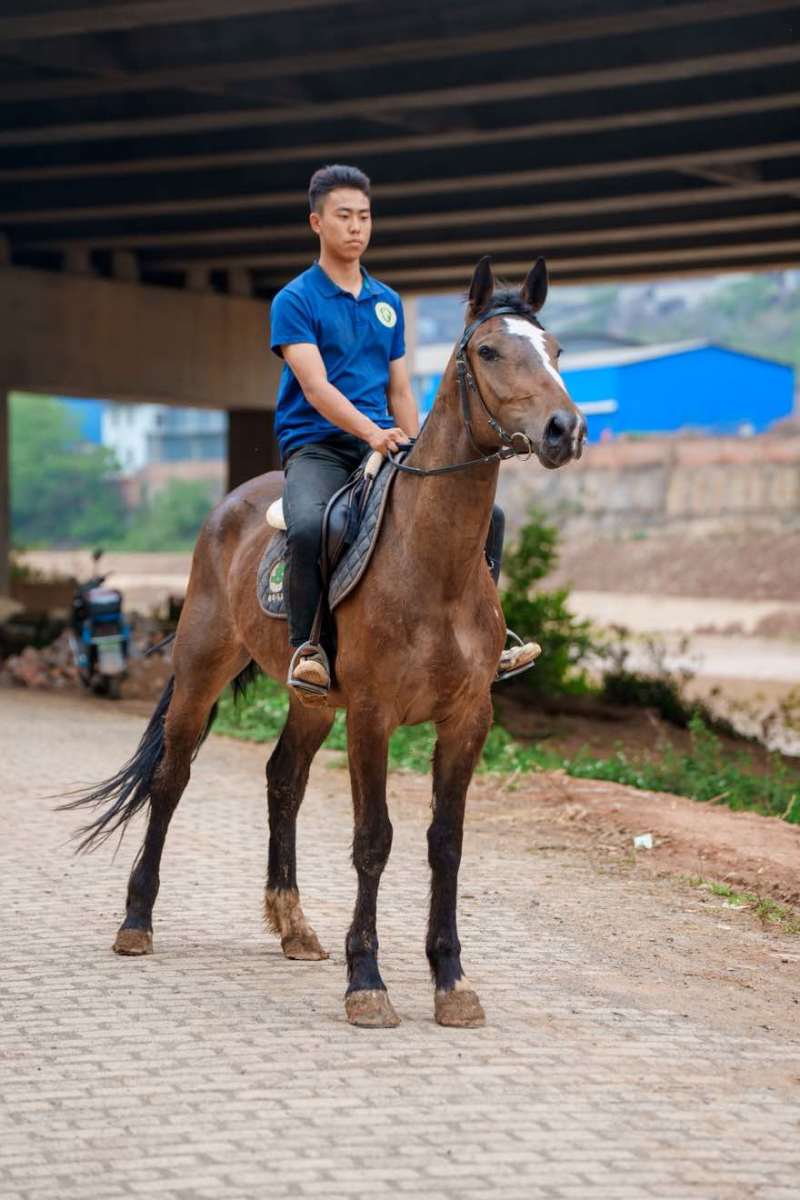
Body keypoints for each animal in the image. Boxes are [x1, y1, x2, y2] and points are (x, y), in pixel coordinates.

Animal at [64, 255, 586, 1029]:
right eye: (490, 351)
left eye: (555, 350)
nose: (564, 429)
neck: (433, 563)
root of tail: (231, 501)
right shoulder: (372, 715)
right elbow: (374, 841)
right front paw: (366, 981)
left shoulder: (469, 717)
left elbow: (447, 843)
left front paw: (451, 980)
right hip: (202, 669)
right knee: (170, 778)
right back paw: (137, 921)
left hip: (310, 699)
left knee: (284, 778)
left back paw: (294, 925)